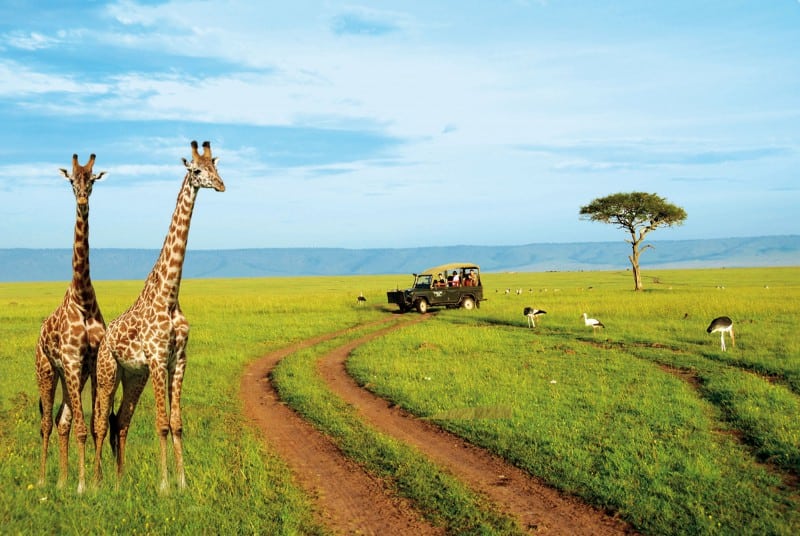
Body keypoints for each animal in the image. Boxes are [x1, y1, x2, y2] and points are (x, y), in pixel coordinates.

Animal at [94, 141, 225, 490]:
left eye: (216, 167)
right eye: (197, 170)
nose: (221, 185)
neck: (169, 296)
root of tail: (104, 338)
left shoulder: (178, 360)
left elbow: (177, 422)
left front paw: (182, 482)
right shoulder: (156, 359)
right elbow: (162, 423)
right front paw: (164, 486)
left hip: (133, 376)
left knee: (119, 420)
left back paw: (119, 481)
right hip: (107, 373)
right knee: (100, 420)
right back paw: (95, 483)